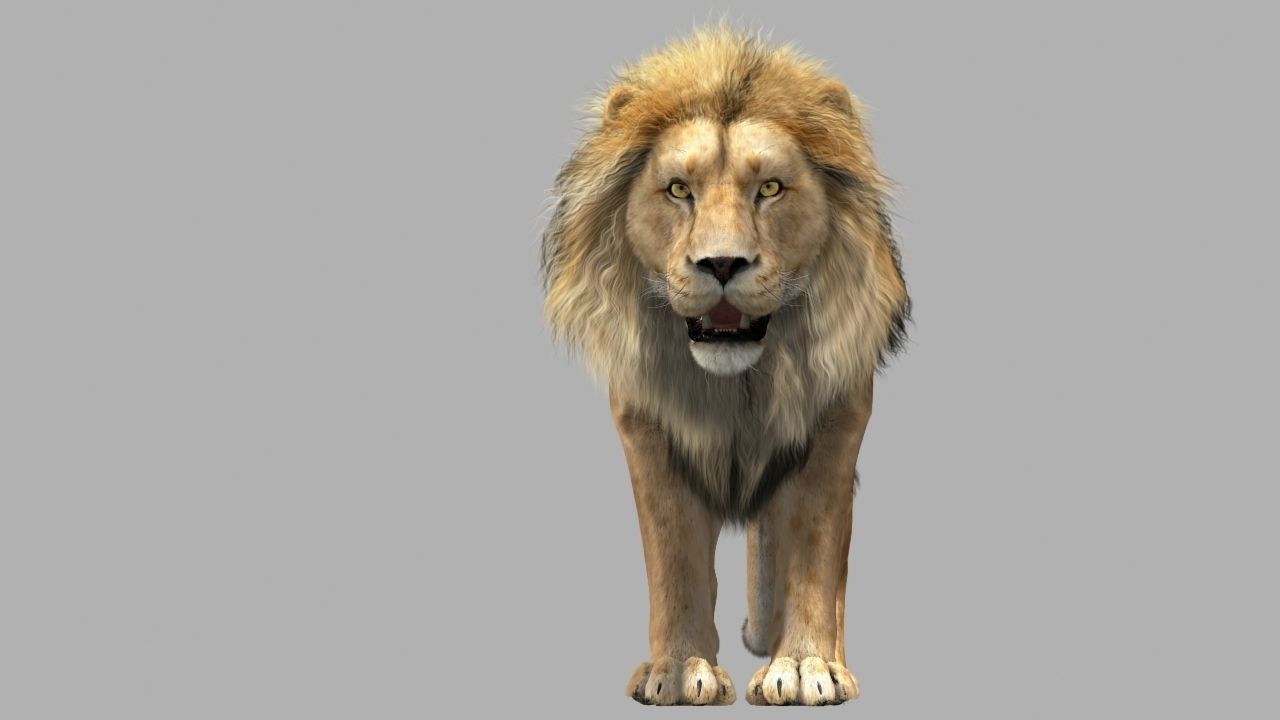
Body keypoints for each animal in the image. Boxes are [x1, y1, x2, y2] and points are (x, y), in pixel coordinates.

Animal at [540, 24, 910, 706]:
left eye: (770, 188)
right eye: (678, 190)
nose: (721, 263)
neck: (741, 386)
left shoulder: (835, 427)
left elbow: (815, 553)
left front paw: (808, 666)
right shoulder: (648, 433)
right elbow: (674, 560)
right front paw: (680, 669)